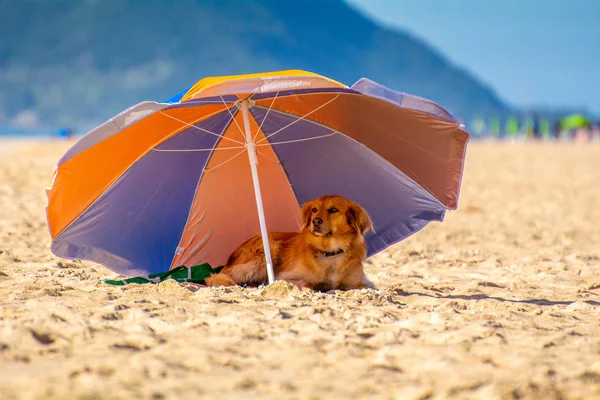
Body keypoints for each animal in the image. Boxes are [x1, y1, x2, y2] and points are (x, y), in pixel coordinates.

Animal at [207, 195, 376, 290]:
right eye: (314, 210)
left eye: (333, 210)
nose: (315, 221)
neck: (331, 252)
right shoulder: (283, 277)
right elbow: (308, 283)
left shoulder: (360, 283)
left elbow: (364, 287)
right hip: (268, 248)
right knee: (218, 277)